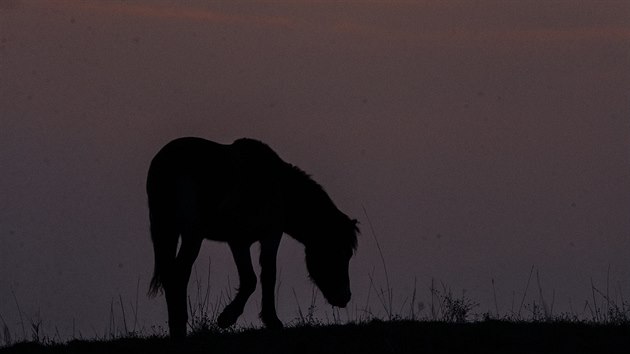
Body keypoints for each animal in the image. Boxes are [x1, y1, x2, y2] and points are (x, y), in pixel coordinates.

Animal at [145, 137, 358, 338]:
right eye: (340, 252)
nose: (345, 297)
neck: (279, 186)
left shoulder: (240, 241)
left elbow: (254, 278)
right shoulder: (264, 236)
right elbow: (263, 275)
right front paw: (243, 319)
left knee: (171, 273)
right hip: (192, 235)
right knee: (179, 273)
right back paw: (179, 326)